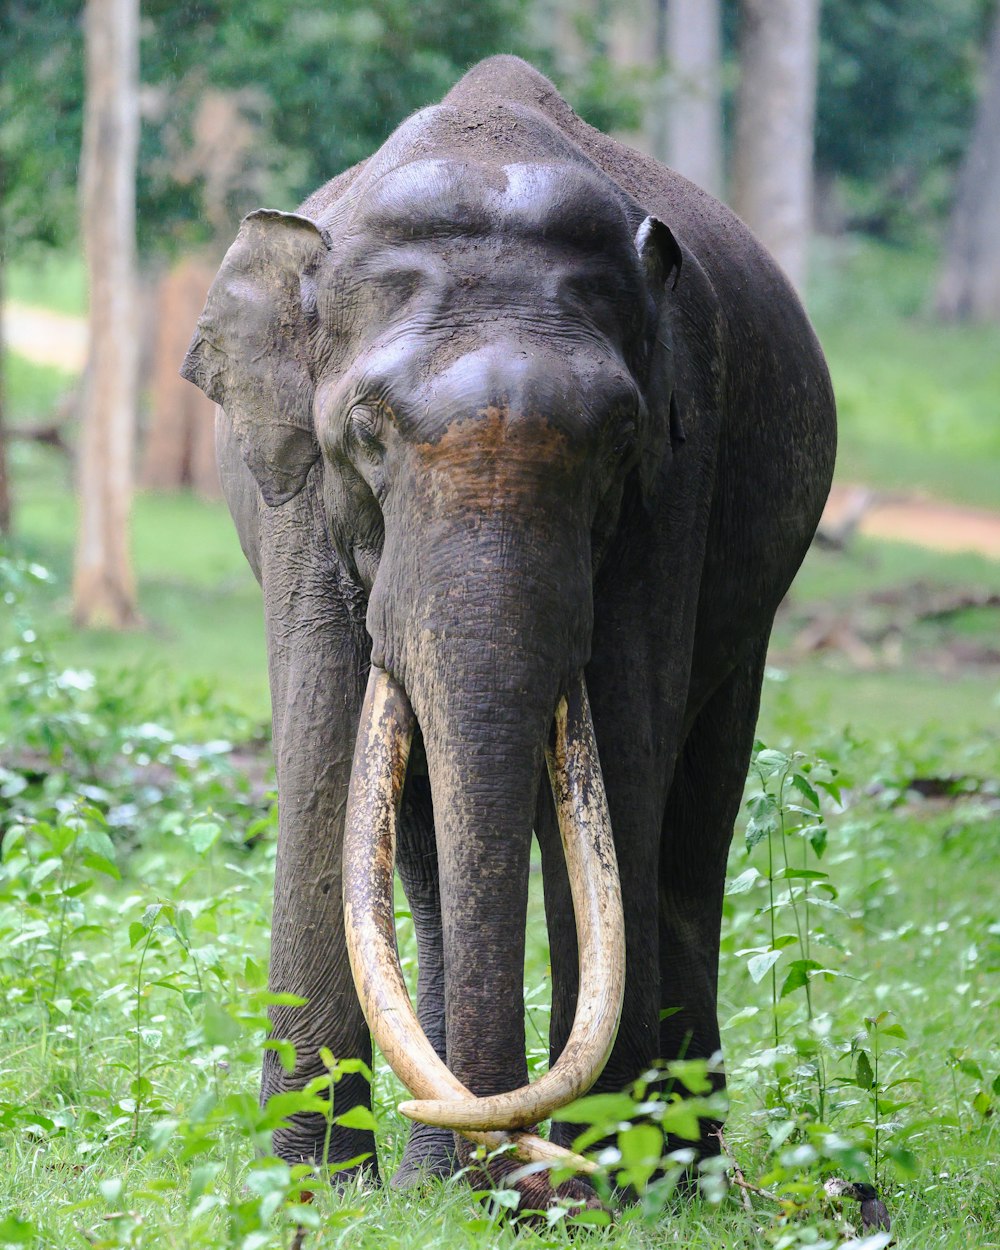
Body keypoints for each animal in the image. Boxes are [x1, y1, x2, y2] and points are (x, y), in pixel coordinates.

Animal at [181, 56, 835, 1210]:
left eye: (618, 439)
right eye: (365, 434)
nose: (520, 1180)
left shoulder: (679, 472)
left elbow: (622, 750)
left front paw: (600, 1194)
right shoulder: (297, 496)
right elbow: (324, 748)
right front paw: (314, 1193)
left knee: (692, 815)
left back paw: (681, 1175)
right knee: (421, 834)